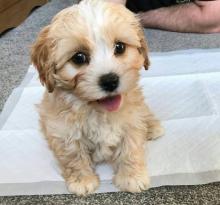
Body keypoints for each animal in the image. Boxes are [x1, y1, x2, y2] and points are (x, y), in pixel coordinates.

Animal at [31, 0, 164, 195]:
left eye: (120, 47)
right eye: (79, 57)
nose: (110, 80)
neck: (97, 111)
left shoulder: (130, 121)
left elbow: (131, 149)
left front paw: (132, 177)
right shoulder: (63, 130)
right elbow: (73, 156)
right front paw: (82, 180)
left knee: (144, 111)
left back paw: (153, 126)